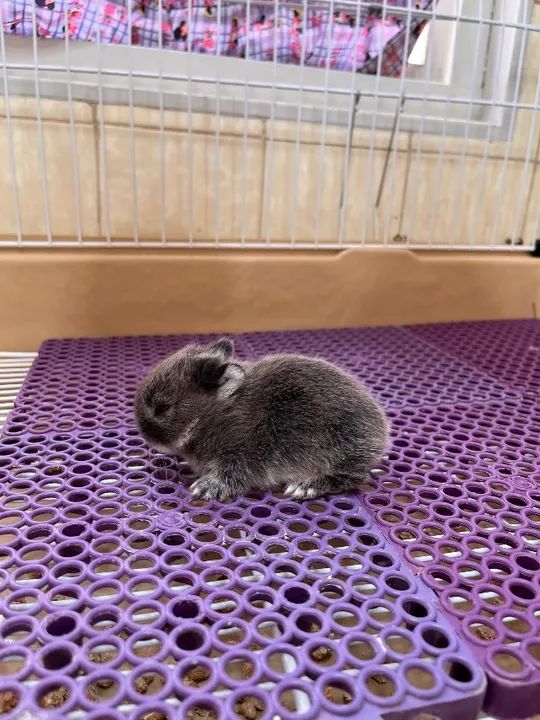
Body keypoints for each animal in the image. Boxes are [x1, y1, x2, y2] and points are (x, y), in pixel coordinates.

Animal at [134, 338, 389, 501]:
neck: (215, 415)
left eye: (163, 408)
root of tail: (381, 432)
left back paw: (305, 487)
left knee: (350, 478)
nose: (143, 433)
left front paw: (205, 487)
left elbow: (232, 474)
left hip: (339, 452)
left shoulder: (243, 453)